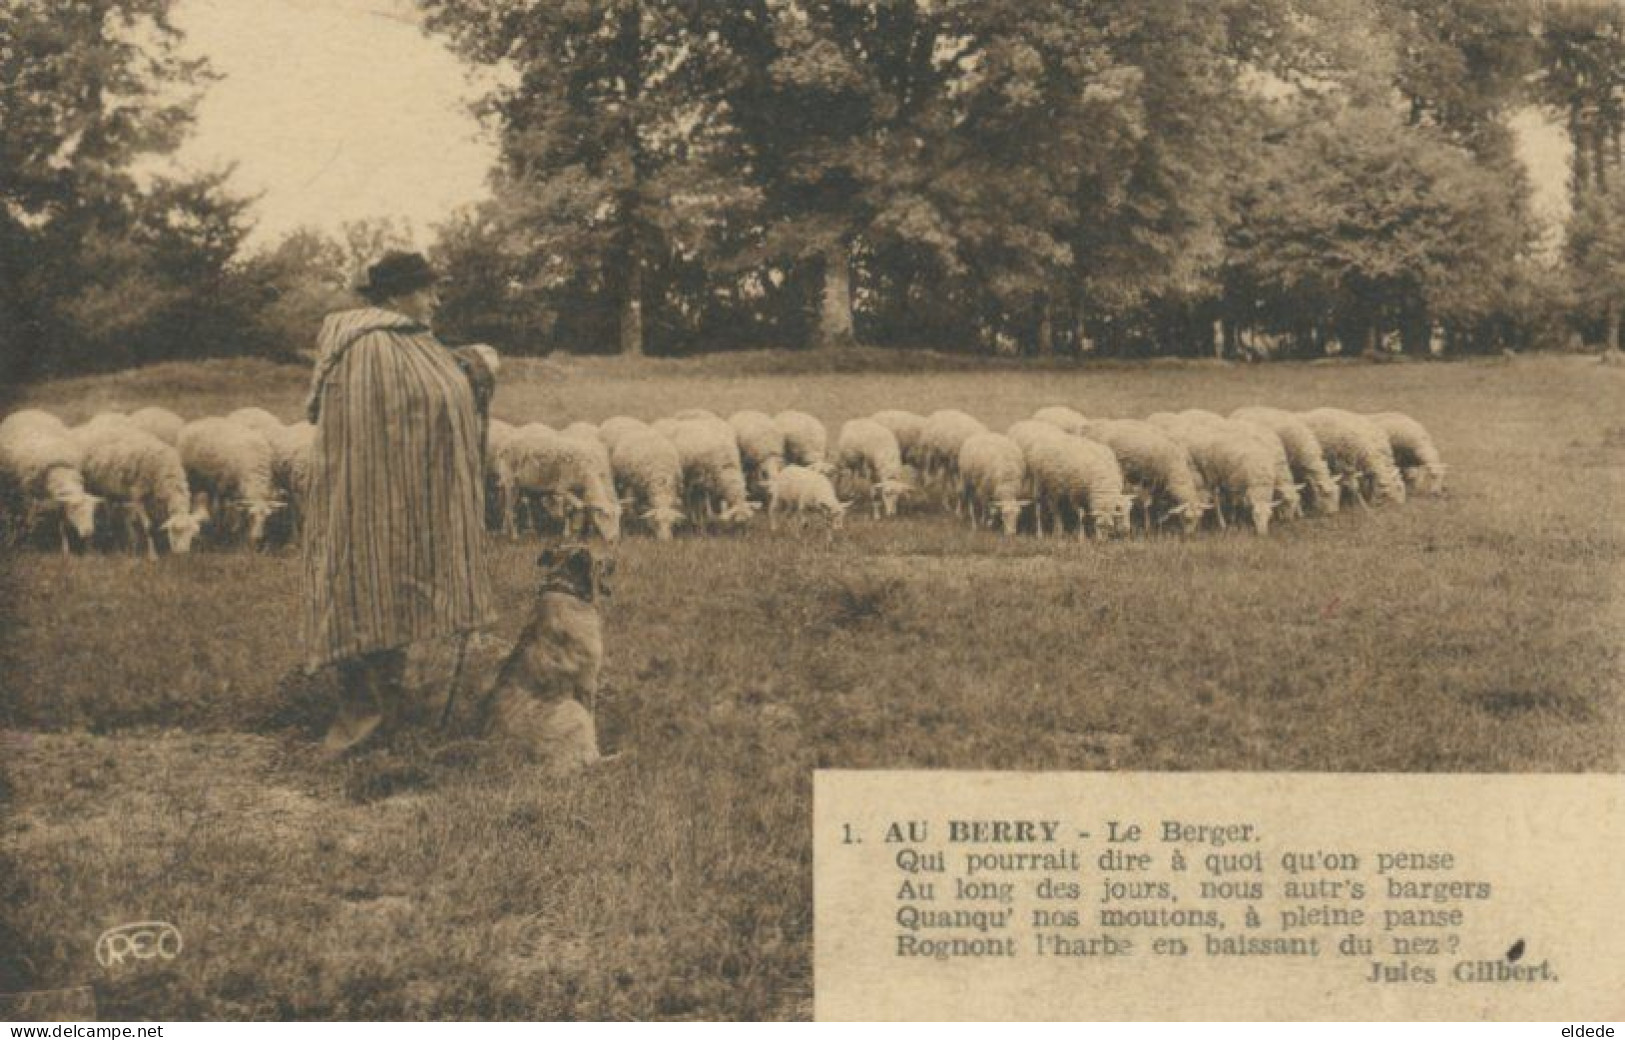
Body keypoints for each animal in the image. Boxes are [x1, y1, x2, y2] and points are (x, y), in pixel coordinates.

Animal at [78, 425, 201, 559]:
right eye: (175, 531)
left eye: (191, 534)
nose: (183, 554)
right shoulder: (138, 494)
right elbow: (148, 527)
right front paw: (152, 555)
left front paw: (134, 546)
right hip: (89, 486)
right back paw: (91, 546)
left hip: (109, 489)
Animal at [177, 416, 282, 549]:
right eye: (251, 515)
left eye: (267, 517)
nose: (258, 539)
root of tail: (200, 420)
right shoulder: (225, 486)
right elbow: (225, 509)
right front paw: (227, 530)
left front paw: (238, 528)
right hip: (192, 475)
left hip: (210, 480)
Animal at [481, 546, 614, 773]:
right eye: (599, 562)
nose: (615, 563)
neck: (565, 589)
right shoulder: (587, 682)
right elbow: (592, 721)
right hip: (573, 709)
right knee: (586, 761)